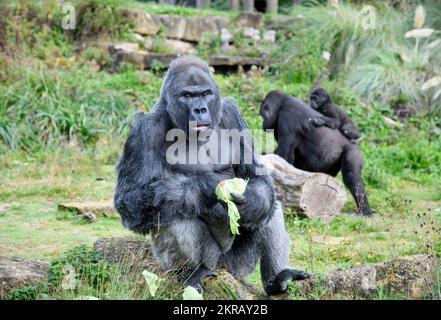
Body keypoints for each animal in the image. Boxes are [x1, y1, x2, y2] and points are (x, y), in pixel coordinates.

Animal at [112, 56, 310, 294]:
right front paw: (205, 186)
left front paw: (251, 202)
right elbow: (131, 199)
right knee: (171, 209)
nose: (200, 109)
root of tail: (223, 269)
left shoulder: (232, 113)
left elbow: (256, 178)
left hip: (239, 265)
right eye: (188, 95)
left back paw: (277, 278)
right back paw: (193, 272)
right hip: (199, 262)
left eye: (206, 93)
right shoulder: (145, 130)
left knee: (270, 206)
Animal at [260, 89, 372, 218]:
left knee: (351, 177)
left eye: (262, 115)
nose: (263, 124)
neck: (283, 103)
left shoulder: (287, 117)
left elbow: (282, 154)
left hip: (352, 150)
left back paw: (365, 210)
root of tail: (353, 141)